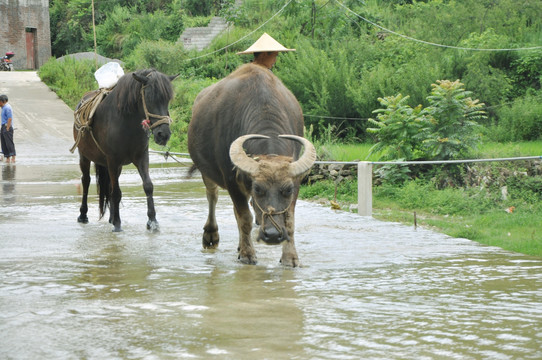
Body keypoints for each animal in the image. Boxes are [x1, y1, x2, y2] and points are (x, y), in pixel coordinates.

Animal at [72, 68, 177, 232]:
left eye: (167, 99)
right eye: (149, 97)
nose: (163, 134)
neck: (126, 123)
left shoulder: (141, 157)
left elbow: (148, 186)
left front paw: (152, 220)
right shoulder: (113, 160)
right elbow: (116, 192)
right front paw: (117, 223)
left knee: (109, 186)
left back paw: (110, 217)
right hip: (84, 156)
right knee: (86, 181)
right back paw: (83, 215)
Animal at [189, 63, 316, 266]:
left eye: (287, 190)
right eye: (258, 189)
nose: (272, 235)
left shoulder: (295, 183)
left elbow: (289, 220)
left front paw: (289, 257)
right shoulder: (232, 180)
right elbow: (245, 218)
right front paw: (248, 254)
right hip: (206, 172)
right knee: (212, 196)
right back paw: (211, 236)